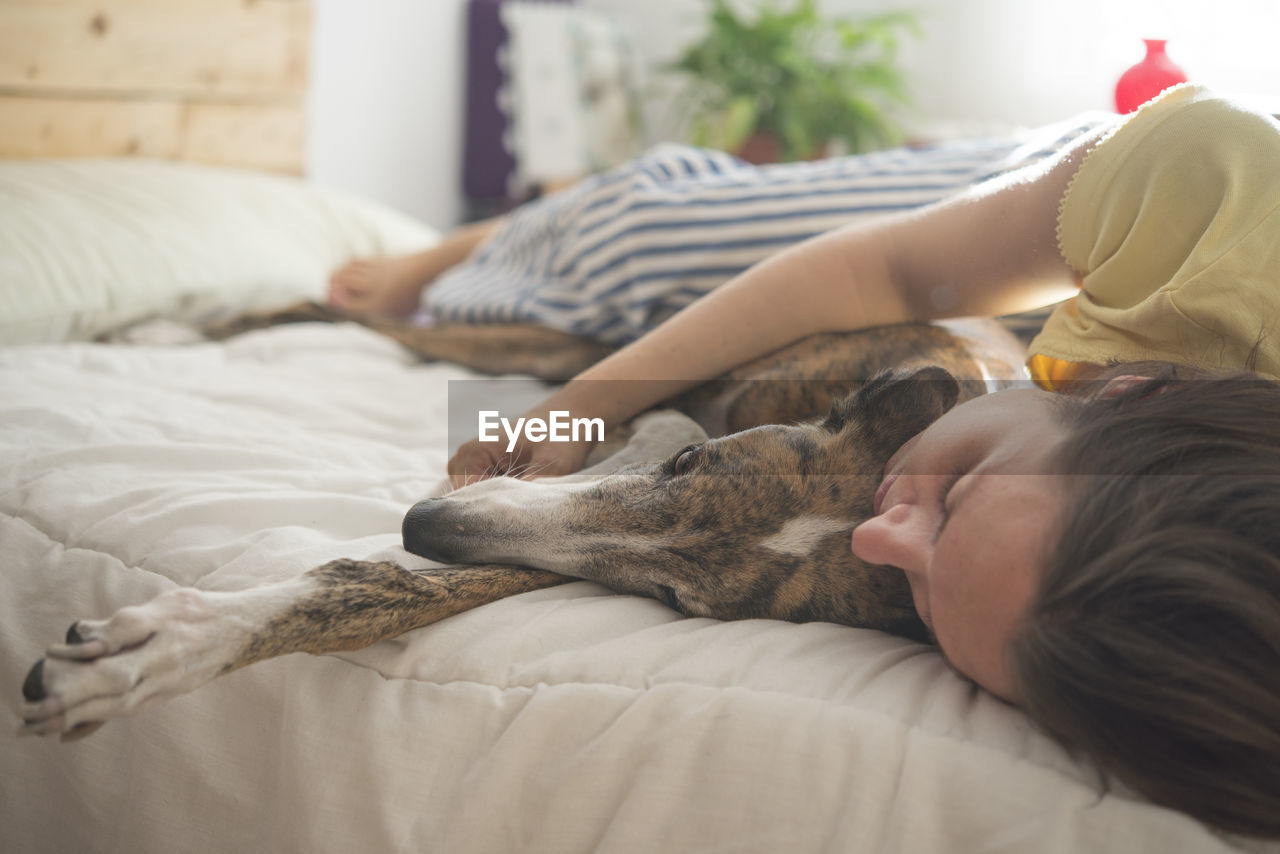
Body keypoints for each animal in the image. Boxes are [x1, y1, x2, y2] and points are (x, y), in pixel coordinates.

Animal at [17, 303, 1018, 737]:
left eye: (675, 602)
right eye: (687, 468)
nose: (421, 520)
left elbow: (433, 577)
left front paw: (174, 644)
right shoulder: (660, 418)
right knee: (351, 307)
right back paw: (165, 332)